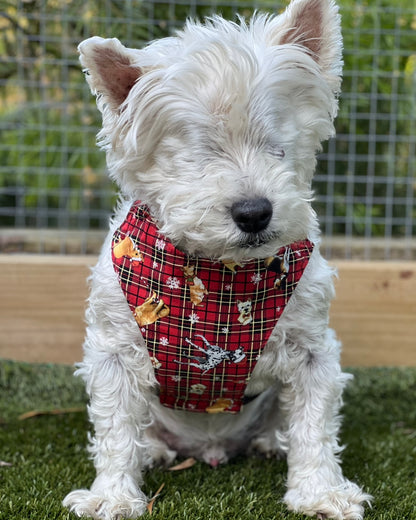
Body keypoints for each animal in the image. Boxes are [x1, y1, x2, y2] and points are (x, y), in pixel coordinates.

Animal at [64, 0, 370, 516]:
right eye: (199, 153)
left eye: (277, 145)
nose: (254, 212)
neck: (218, 280)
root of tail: (209, 449)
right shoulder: (114, 353)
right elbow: (116, 431)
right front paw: (112, 497)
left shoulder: (312, 349)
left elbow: (314, 426)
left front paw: (320, 492)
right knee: (144, 432)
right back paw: (156, 450)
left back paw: (270, 442)